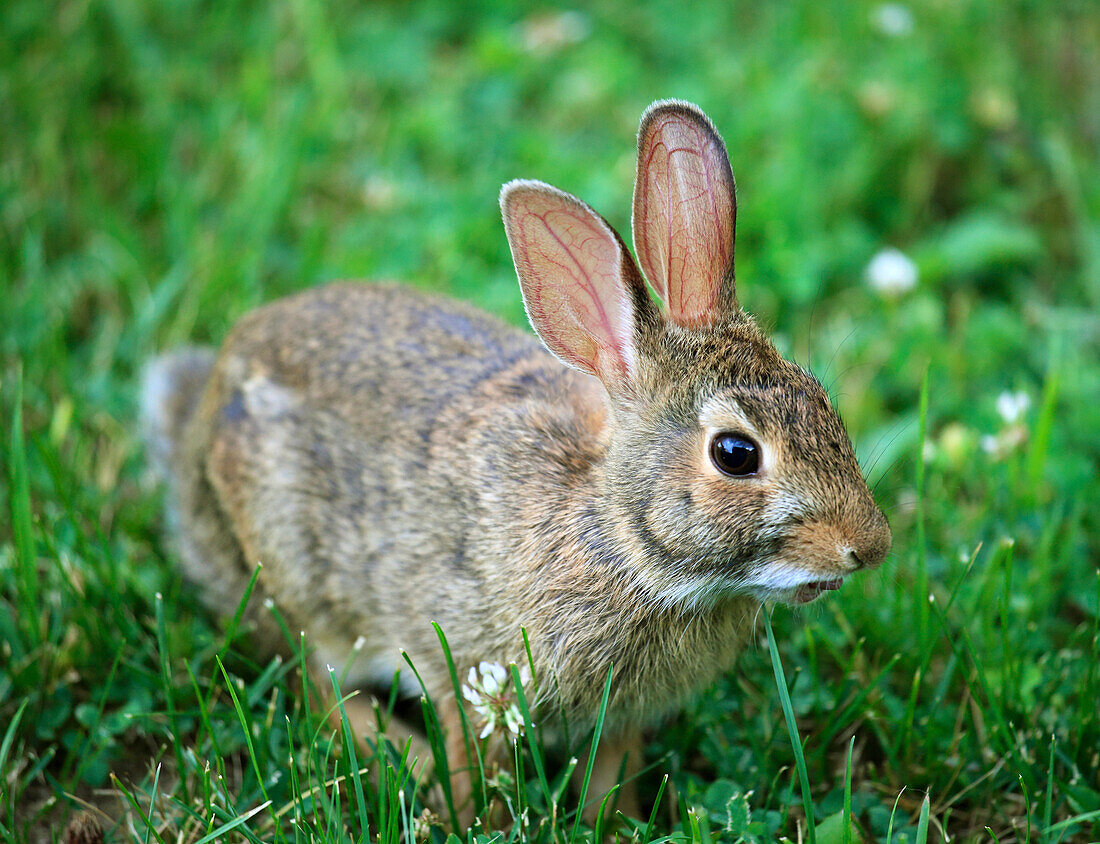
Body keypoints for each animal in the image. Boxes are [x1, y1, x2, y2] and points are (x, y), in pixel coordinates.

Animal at [141, 100, 888, 827]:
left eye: (822, 400)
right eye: (736, 454)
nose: (869, 547)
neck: (621, 540)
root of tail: (204, 407)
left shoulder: (621, 717)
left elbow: (610, 778)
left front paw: (614, 824)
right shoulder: (473, 673)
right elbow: (474, 765)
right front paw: (476, 818)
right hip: (297, 582)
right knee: (315, 683)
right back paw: (402, 756)